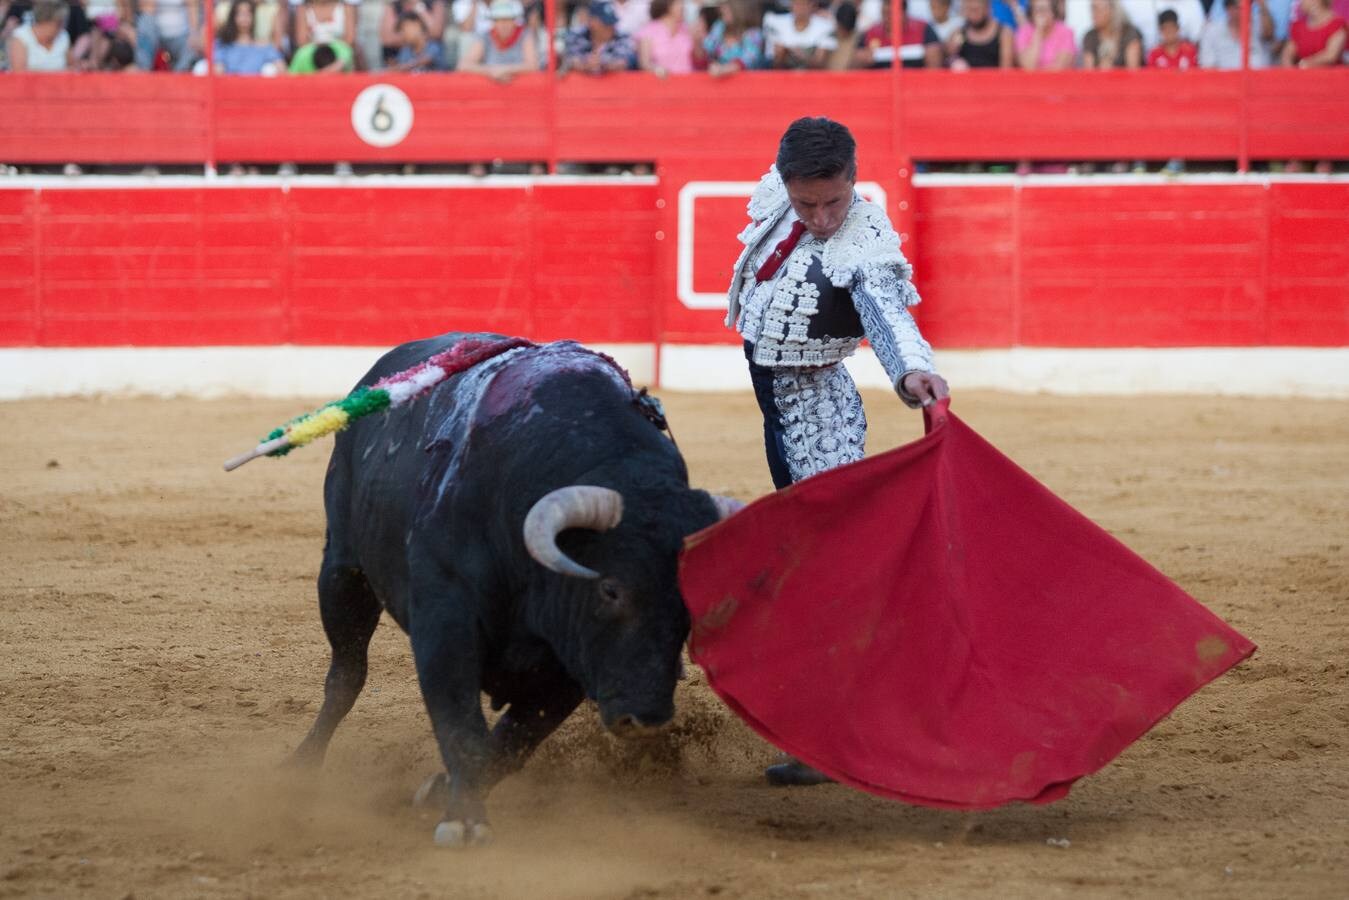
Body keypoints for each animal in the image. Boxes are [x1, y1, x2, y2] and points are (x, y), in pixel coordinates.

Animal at [290, 334, 739, 847]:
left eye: (692, 601)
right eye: (610, 590)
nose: (646, 720)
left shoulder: (566, 664)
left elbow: (508, 744)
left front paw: (441, 792)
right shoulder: (445, 627)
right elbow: (461, 724)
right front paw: (463, 821)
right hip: (343, 570)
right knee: (346, 674)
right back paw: (302, 766)